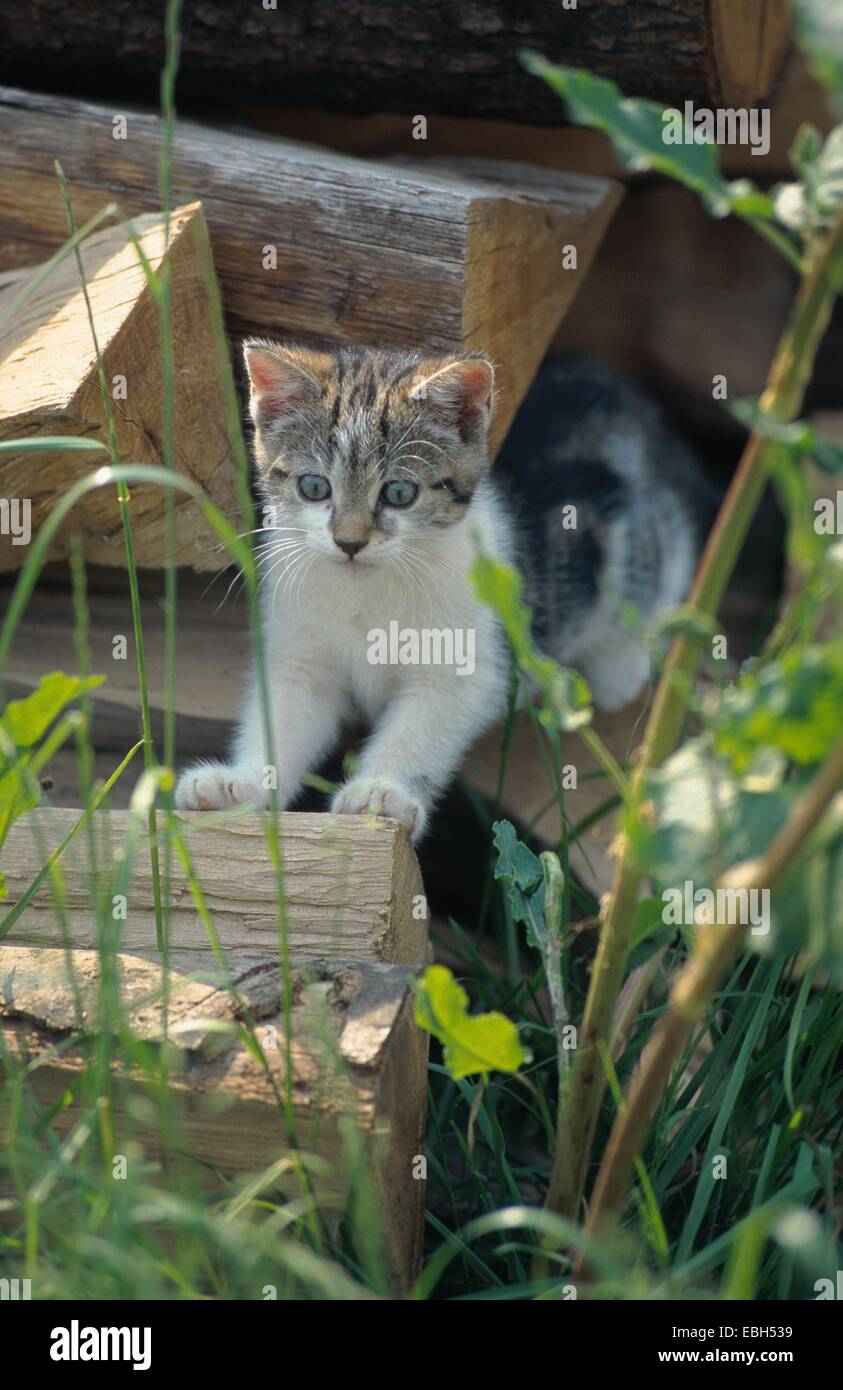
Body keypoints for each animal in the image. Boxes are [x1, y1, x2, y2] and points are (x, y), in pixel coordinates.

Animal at [176, 341, 706, 839]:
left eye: (399, 493)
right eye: (313, 487)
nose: (349, 542)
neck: (368, 590)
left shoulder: (467, 667)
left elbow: (419, 729)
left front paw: (382, 792)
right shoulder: (301, 657)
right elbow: (283, 716)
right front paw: (240, 785)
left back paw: (624, 659)